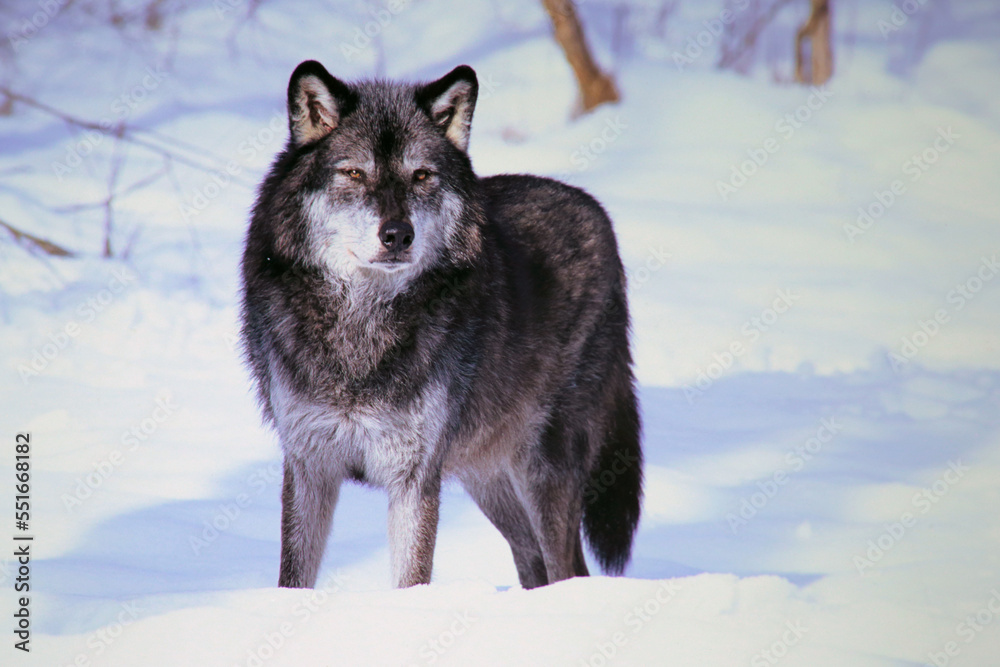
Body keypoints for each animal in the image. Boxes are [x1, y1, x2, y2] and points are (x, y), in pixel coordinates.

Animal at [240, 59, 642, 590]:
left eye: (422, 176)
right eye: (354, 173)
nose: (397, 235)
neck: (361, 326)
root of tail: (599, 213)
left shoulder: (414, 477)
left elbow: (411, 580)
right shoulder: (309, 465)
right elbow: (292, 578)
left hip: (542, 469)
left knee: (568, 569)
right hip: (484, 475)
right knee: (532, 560)